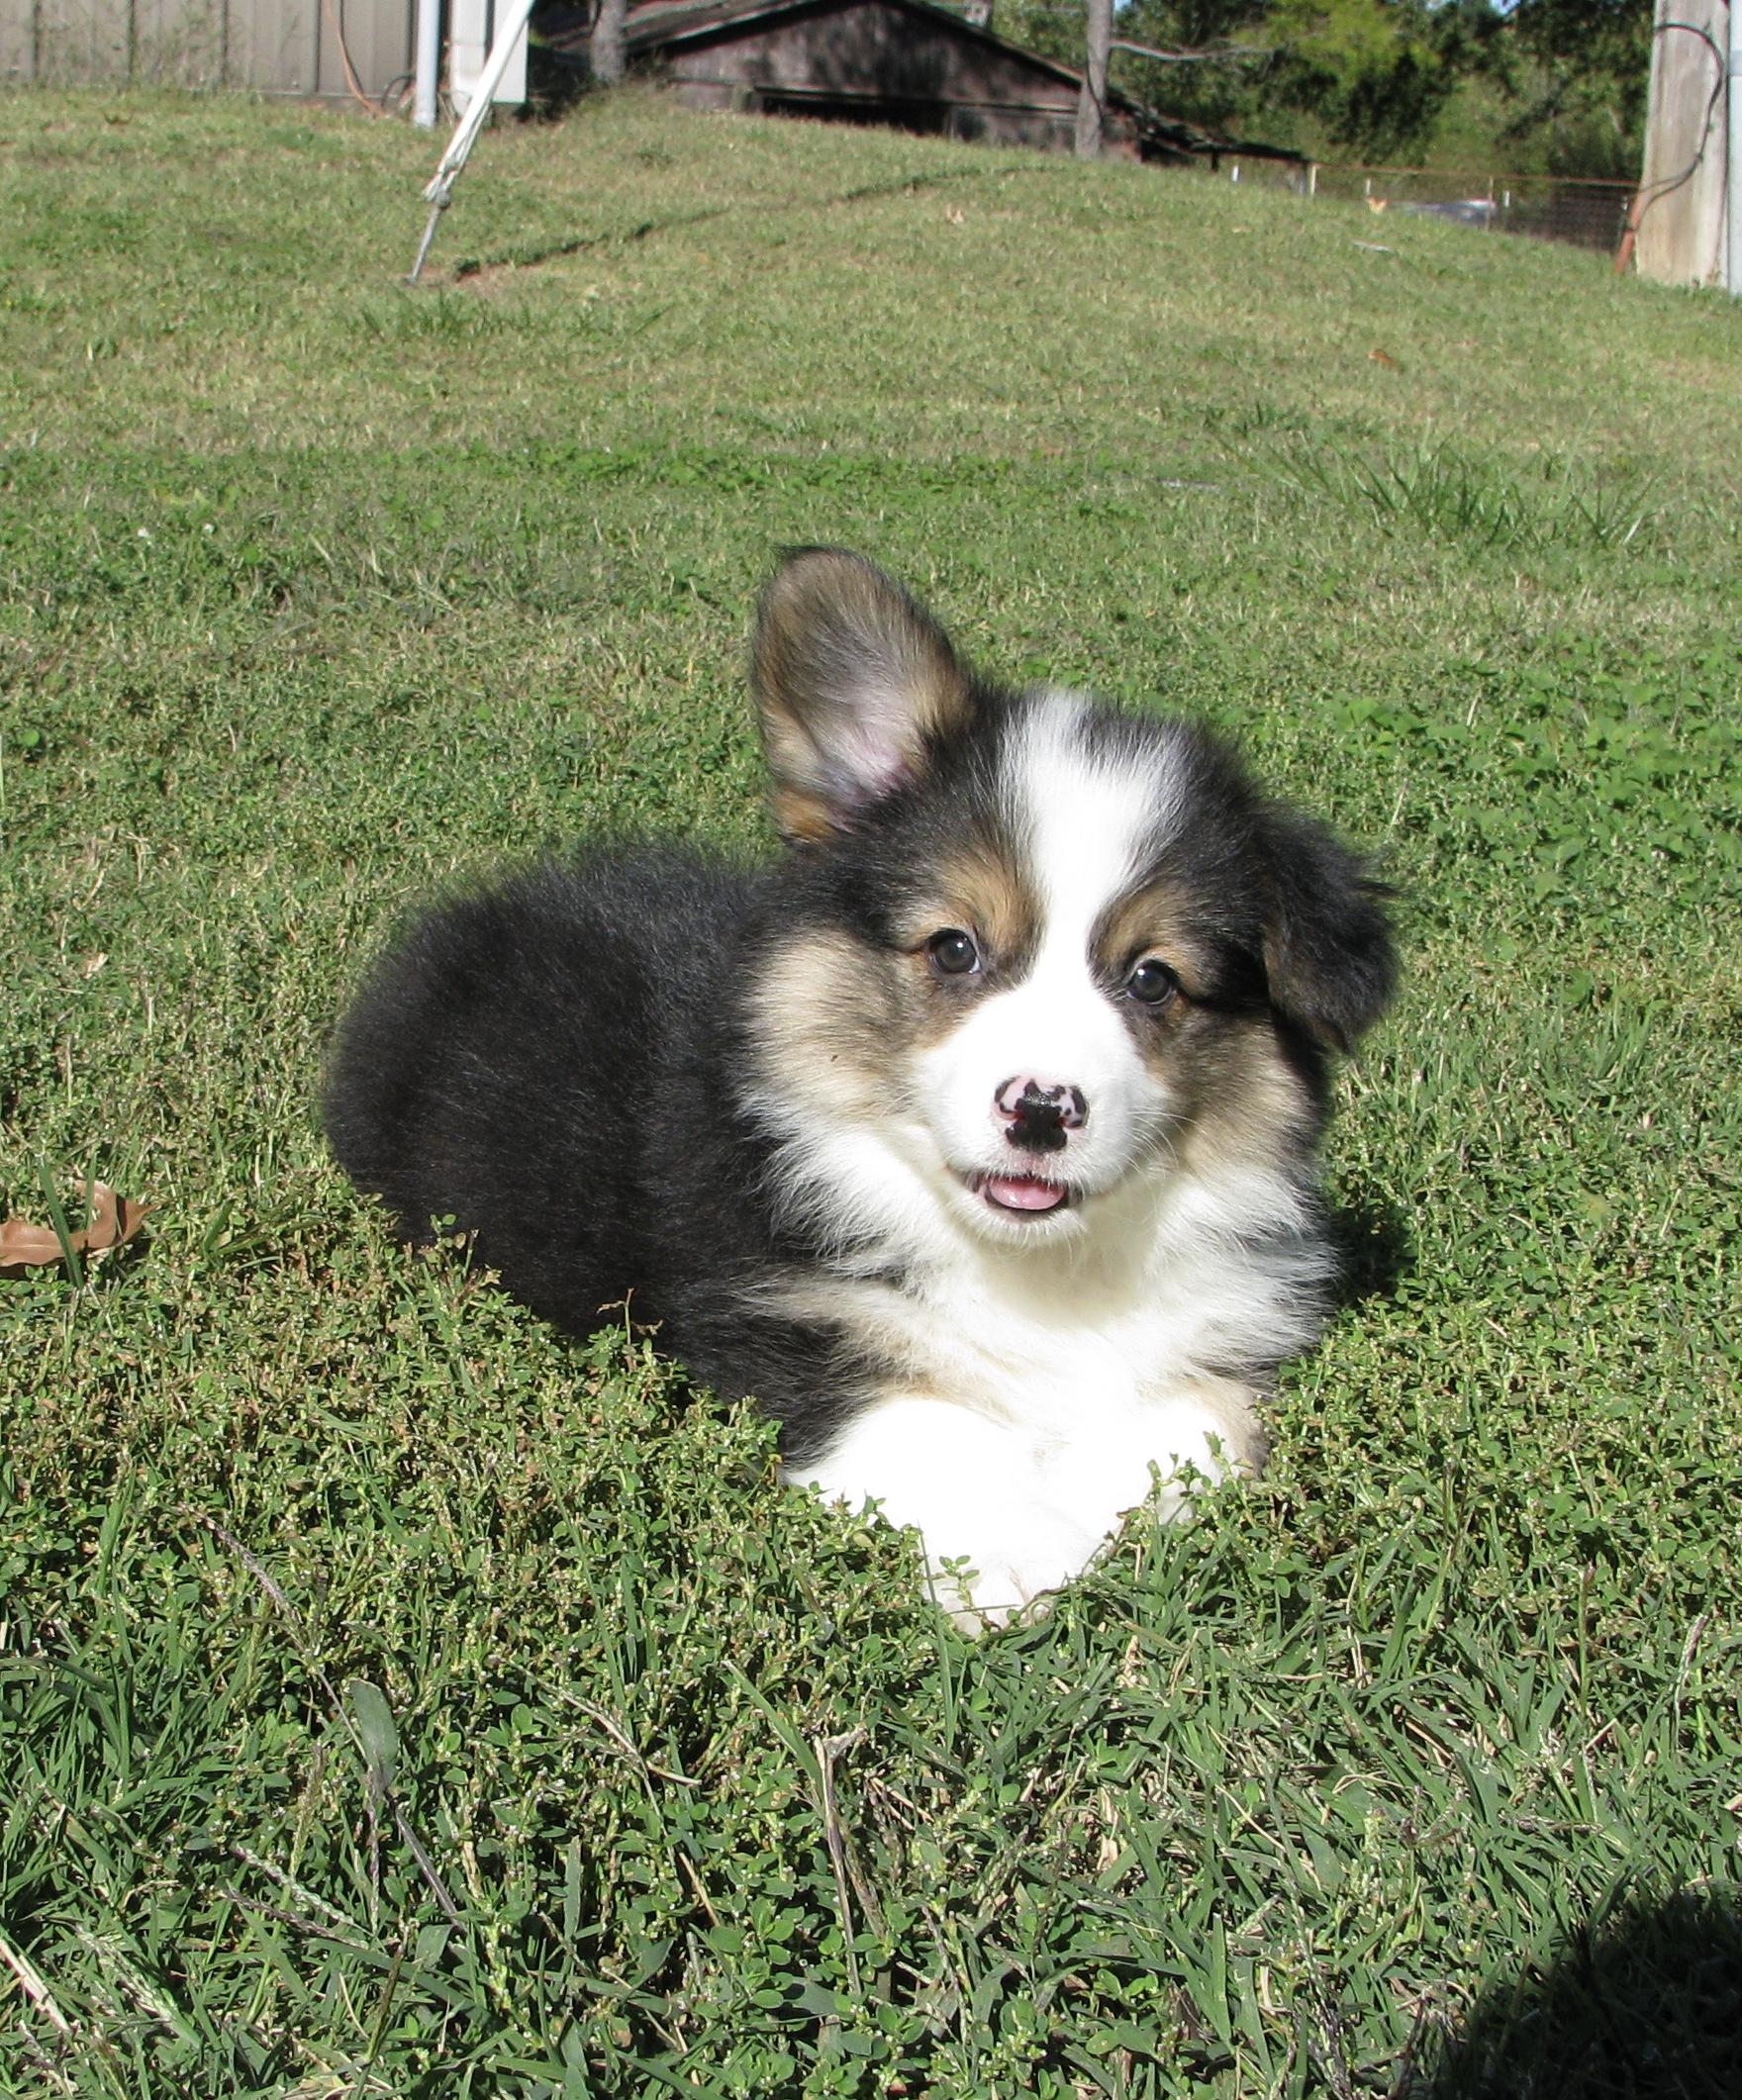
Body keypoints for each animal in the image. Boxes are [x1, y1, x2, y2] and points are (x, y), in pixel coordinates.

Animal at [324, 549, 1395, 1626]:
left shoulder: (1215, 1340)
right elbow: (931, 1418)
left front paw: (1091, 1524)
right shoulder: (789, 1314)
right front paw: (1013, 1556)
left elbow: (1184, 1429)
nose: (1040, 1112)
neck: (1035, 1270)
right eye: (954, 948)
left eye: (1151, 980)